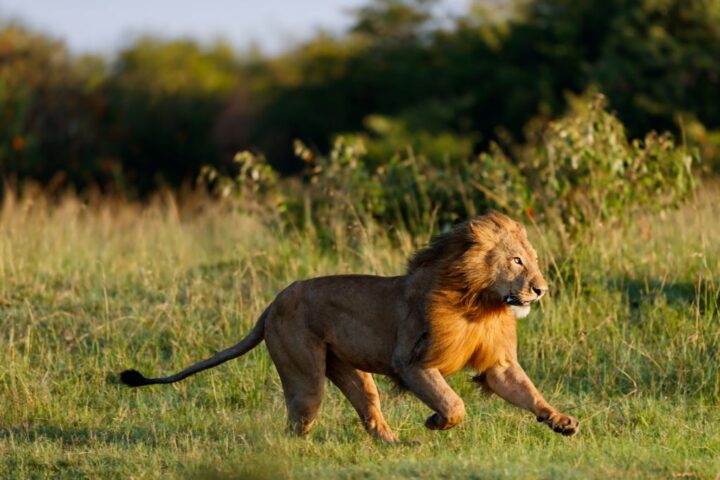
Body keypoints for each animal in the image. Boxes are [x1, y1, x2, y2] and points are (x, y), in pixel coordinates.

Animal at [119, 211, 579, 442]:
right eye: (516, 261)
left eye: (533, 260)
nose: (541, 289)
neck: (480, 304)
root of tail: (271, 305)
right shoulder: (413, 362)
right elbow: (454, 404)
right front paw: (435, 422)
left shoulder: (498, 364)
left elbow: (528, 393)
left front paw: (562, 422)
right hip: (304, 374)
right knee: (298, 420)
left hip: (352, 373)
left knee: (369, 414)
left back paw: (397, 444)